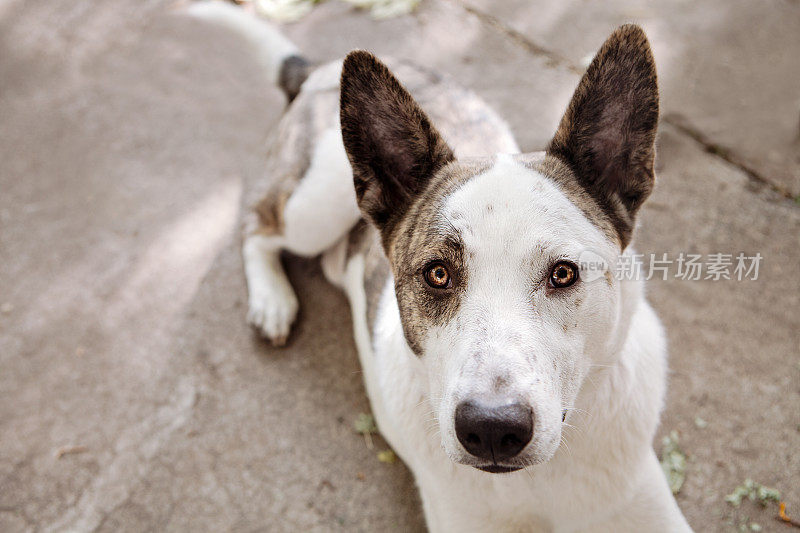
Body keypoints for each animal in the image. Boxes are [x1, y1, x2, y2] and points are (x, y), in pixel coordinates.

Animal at [188, 3, 692, 528]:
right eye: (438, 274)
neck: (535, 482)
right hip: (316, 203)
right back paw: (272, 300)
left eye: (564, 273)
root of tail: (321, 68)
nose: (492, 430)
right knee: (256, 224)